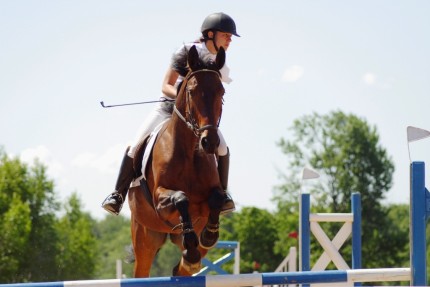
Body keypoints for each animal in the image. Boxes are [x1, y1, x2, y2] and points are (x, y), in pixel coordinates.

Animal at [127, 45, 227, 280]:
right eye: (191, 91)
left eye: (222, 92)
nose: (210, 142)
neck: (189, 152)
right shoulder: (159, 199)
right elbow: (181, 198)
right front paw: (191, 241)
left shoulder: (210, 198)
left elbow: (217, 198)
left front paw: (209, 234)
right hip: (145, 237)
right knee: (141, 270)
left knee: (186, 265)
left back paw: (189, 260)